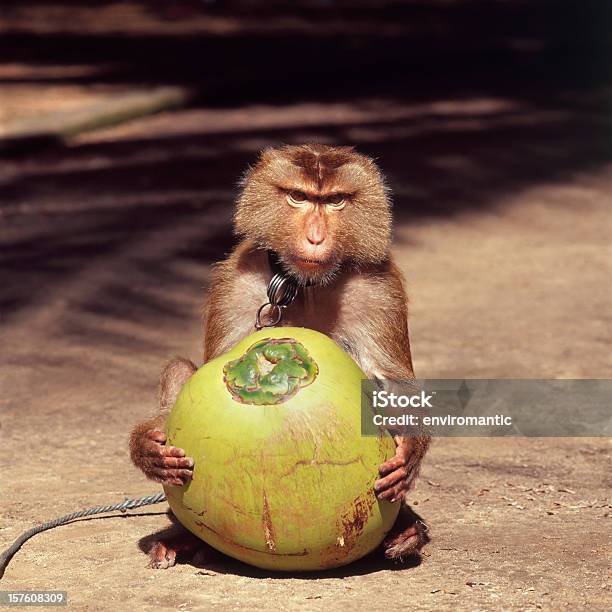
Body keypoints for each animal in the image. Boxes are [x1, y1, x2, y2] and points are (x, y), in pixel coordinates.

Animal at [129, 143, 430, 568]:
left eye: (335, 201)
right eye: (298, 197)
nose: (316, 238)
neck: (303, 286)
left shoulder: (379, 288)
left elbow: (393, 381)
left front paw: (411, 451)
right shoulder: (236, 281)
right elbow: (208, 366)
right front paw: (147, 447)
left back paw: (406, 533)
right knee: (179, 368)